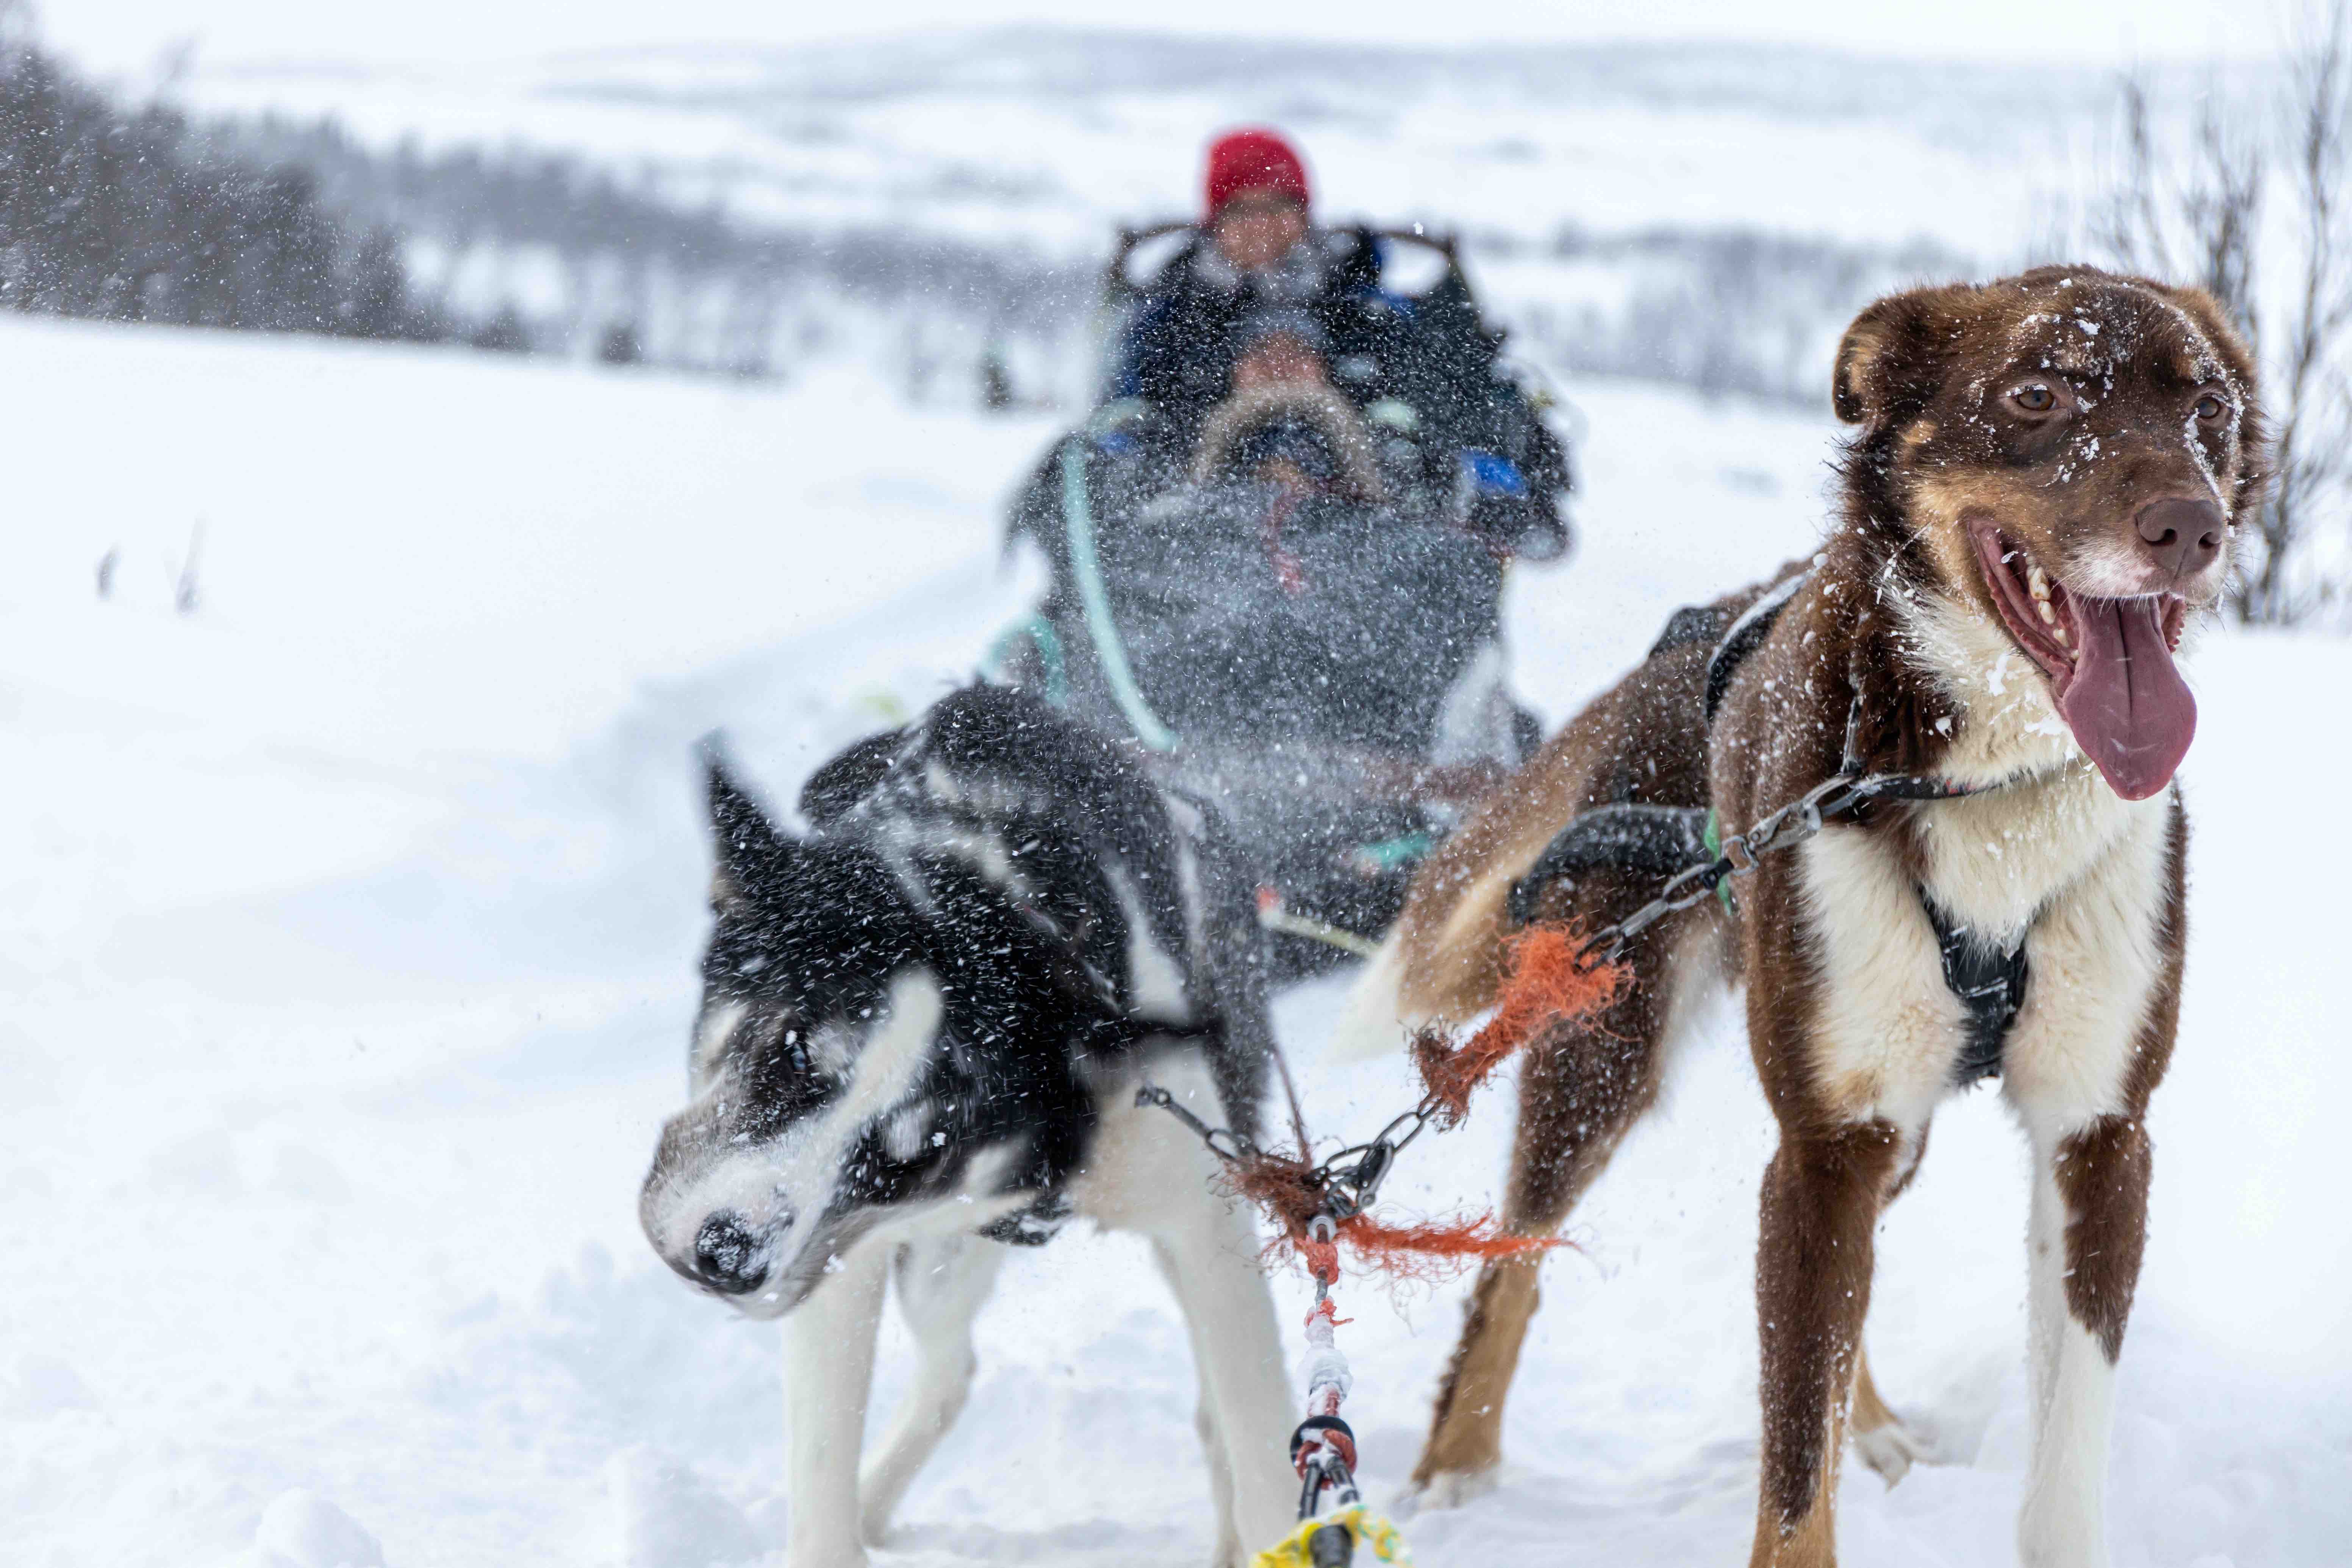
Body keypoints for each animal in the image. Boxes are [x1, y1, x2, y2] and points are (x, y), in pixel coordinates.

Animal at [640, 686, 1289, 1568]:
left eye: (910, 1156)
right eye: (792, 1046)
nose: (727, 1254)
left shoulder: (1204, 1222)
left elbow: (1263, 1453)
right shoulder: (841, 1258)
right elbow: (822, 1479)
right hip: (933, 1265)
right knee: (949, 1369)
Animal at [1345, 263, 2258, 1561]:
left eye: (2208, 408)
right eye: (2036, 393)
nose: (2190, 527)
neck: (1981, 786)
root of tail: (1667, 660)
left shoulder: (2096, 1134)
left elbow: (2058, 1456)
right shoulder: (1820, 1147)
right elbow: (1789, 1475)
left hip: (1890, 1119)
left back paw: (1869, 1428)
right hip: (1605, 1046)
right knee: (1510, 1262)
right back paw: (1455, 1468)